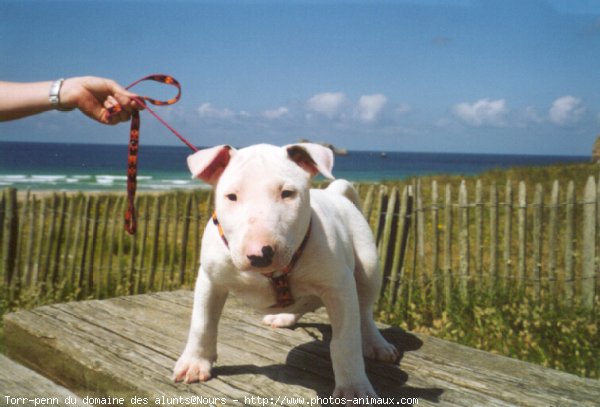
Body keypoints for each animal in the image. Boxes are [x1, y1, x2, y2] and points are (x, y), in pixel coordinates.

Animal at [173, 143, 398, 402]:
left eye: (287, 193)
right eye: (231, 196)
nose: (259, 254)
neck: (273, 273)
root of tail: (335, 193)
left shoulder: (339, 287)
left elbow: (345, 341)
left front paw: (354, 389)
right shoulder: (210, 280)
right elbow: (202, 324)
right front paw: (194, 364)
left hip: (369, 266)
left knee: (365, 311)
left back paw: (377, 344)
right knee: (302, 302)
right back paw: (283, 317)